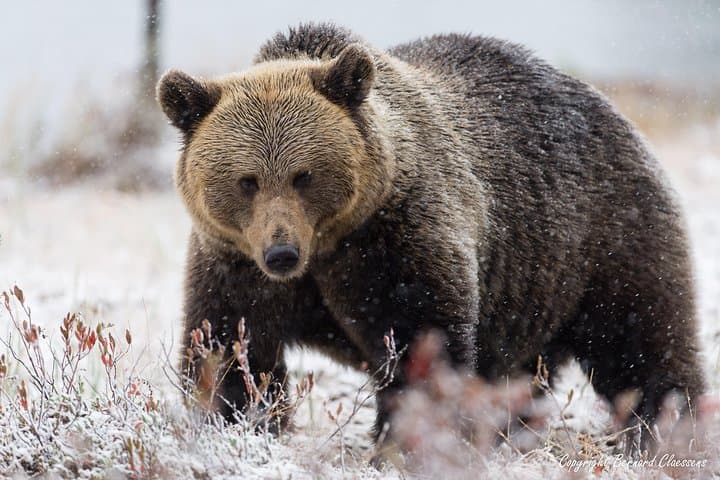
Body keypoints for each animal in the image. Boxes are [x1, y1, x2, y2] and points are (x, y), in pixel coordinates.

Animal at [156, 23, 704, 452]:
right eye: (246, 180)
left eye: (303, 175)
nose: (282, 252)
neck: (329, 246)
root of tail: (612, 111)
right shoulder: (234, 262)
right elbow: (228, 346)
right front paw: (233, 423)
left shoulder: (394, 240)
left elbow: (422, 338)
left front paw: (403, 440)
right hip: (534, 287)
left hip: (603, 237)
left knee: (643, 339)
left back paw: (669, 429)